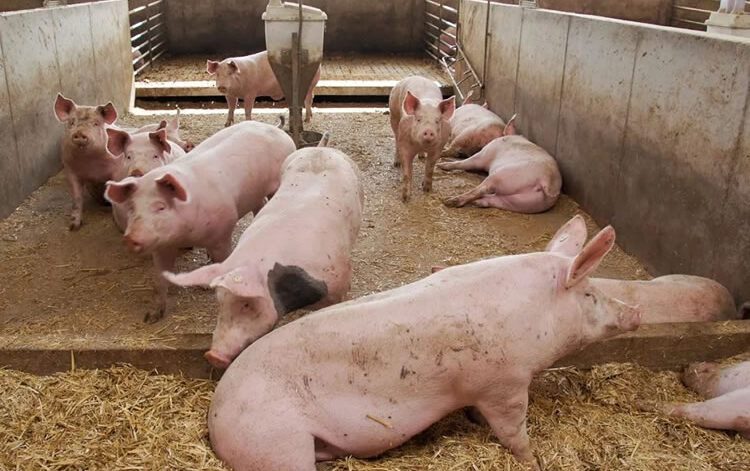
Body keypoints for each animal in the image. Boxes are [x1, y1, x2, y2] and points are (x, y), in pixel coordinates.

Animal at [53, 93, 120, 230]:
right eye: (72, 122)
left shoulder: (116, 169)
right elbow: (77, 198)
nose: (79, 133)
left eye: (96, 123)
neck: (90, 162)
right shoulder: (70, 169)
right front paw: (73, 226)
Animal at [104, 121, 296, 323]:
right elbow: (161, 279)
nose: (129, 238)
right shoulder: (162, 246)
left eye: (161, 207)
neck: (186, 235)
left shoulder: (223, 233)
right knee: (261, 205)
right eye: (132, 207)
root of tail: (275, 128)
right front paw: (152, 316)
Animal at [207, 224, 642, 470]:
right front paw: (532, 460)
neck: (534, 312)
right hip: (276, 440)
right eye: (590, 294)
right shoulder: (505, 384)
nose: (636, 312)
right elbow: (513, 430)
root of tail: (215, 414)